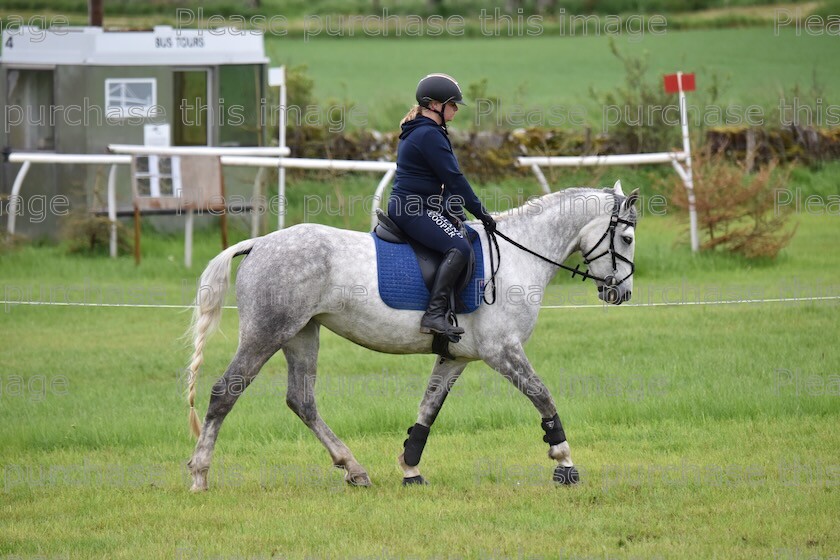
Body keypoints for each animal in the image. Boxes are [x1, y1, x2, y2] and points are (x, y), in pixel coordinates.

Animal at [187, 180, 640, 490]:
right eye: (627, 238)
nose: (622, 293)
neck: (517, 256)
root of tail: (260, 243)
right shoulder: (503, 351)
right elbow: (542, 396)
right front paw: (564, 462)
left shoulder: (456, 357)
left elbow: (428, 410)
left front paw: (410, 467)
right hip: (267, 333)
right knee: (224, 392)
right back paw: (199, 475)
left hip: (301, 334)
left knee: (302, 401)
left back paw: (354, 469)